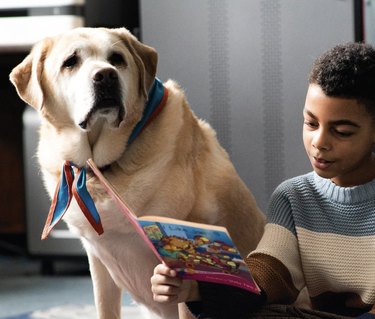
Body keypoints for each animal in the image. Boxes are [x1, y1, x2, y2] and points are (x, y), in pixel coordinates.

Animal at [10, 28, 266, 319]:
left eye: (117, 59)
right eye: (70, 62)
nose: (106, 75)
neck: (100, 168)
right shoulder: (99, 260)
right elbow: (105, 309)